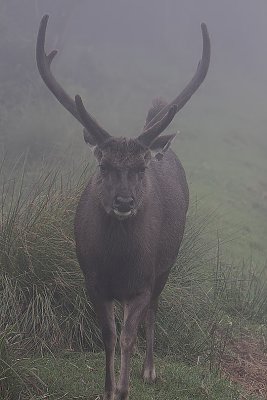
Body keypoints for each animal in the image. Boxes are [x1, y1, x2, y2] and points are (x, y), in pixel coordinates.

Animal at [36, 14, 211, 400]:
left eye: (141, 168)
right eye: (103, 166)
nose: (125, 202)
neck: (118, 263)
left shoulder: (142, 282)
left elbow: (129, 336)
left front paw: (124, 388)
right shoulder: (93, 282)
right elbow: (109, 336)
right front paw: (106, 389)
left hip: (165, 265)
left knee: (155, 310)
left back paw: (150, 370)